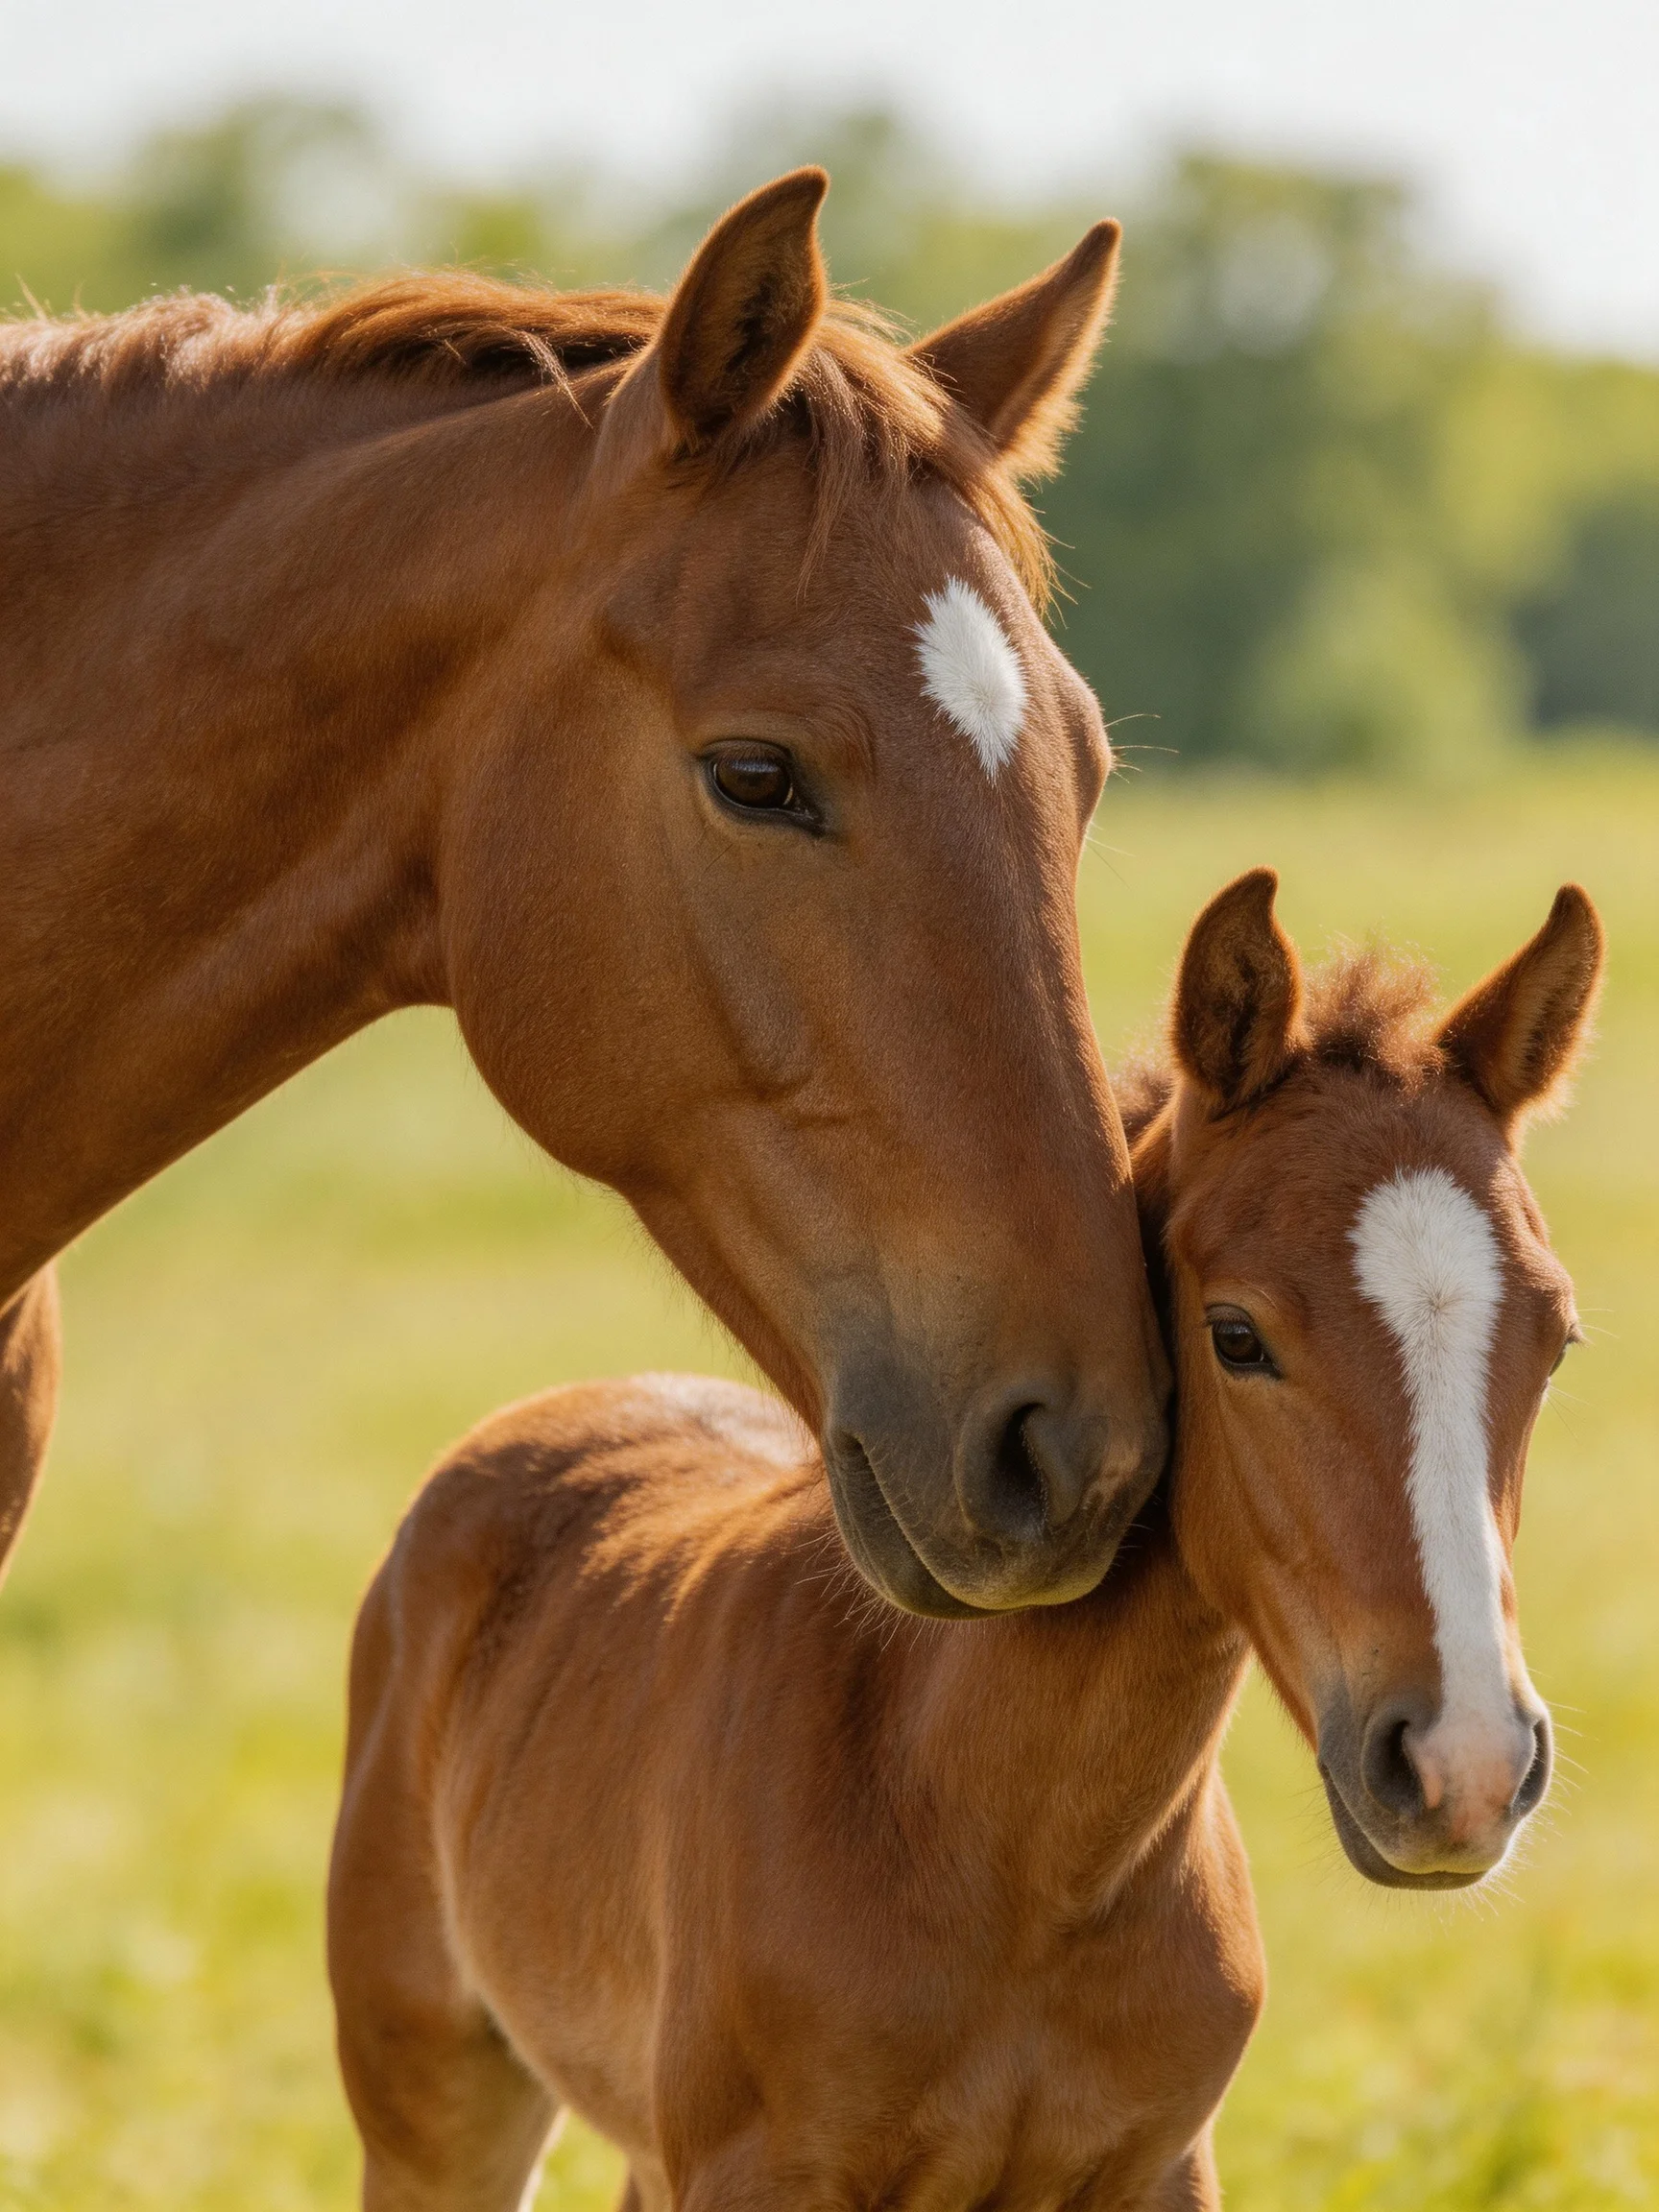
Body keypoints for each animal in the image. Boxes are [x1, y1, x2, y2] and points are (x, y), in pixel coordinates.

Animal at [327, 870, 1602, 2209]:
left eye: (1558, 1339)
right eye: (1237, 1335)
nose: (1464, 1767)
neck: (1008, 1850)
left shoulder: (1162, 2168)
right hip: (437, 2104)